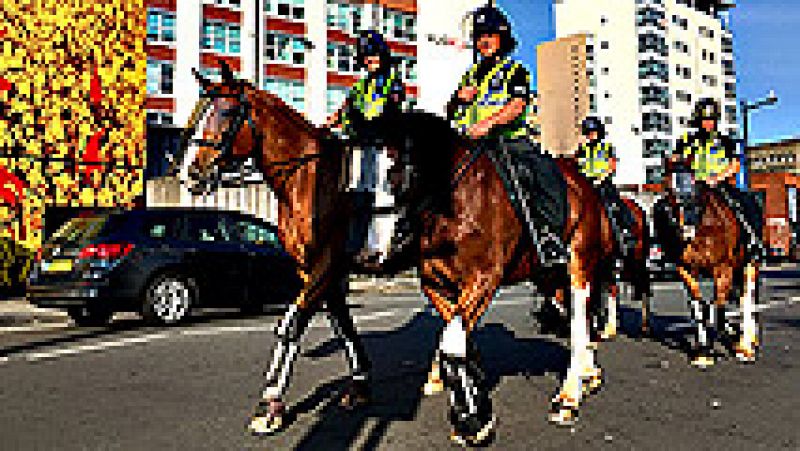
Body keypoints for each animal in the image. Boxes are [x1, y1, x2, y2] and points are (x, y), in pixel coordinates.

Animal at [183, 69, 612, 446]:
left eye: (225, 113)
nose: (189, 173)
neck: (310, 180)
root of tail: (584, 185)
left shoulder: (327, 264)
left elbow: (292, 324)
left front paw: (270, 405)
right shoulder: (321, 271)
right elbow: (344, 326)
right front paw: (361, 385)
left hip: (577, 263)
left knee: (579, 316)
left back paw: (570, 393)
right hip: (544, 272)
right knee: (570, 314)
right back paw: (586, 373)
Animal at [652, 161, 760, 370]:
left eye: (694, 188)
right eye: (668, 188)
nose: (687, 228)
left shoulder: (723, 269)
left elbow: (718, 309)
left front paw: (735, 346)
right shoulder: (686, 270)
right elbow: (698, 306)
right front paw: (703, 352)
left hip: (750, 263)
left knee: (747, 298)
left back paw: (747, 345)